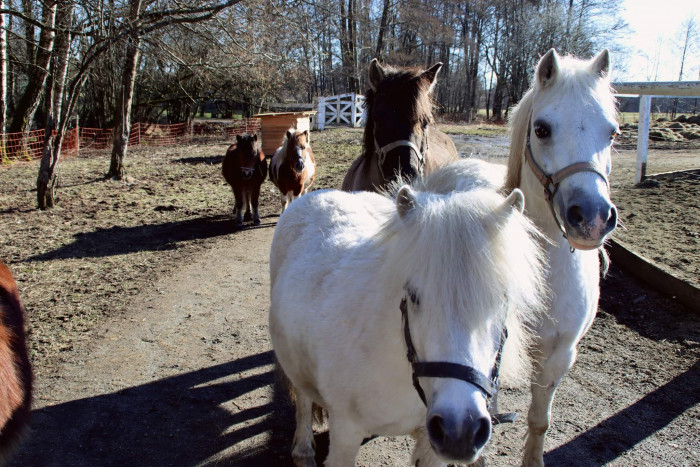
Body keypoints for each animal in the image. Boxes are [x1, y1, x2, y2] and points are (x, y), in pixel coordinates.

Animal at [268, 183, 548, 464]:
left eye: (502, 298)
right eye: (413, 295)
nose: (461, 431)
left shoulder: (431, 446)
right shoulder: (345, 435)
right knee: (302, 397)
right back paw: (303, 449)